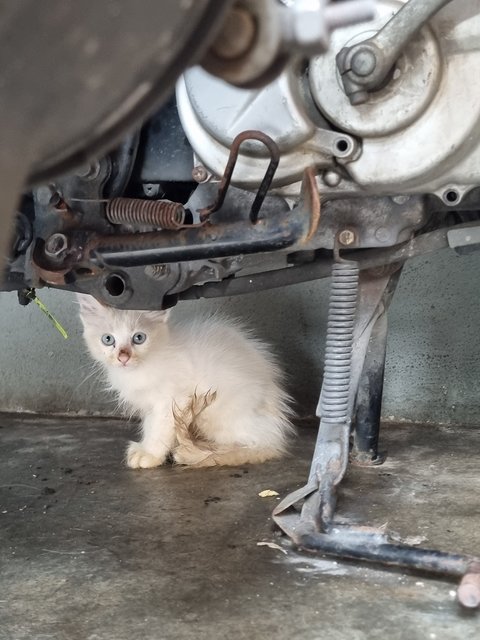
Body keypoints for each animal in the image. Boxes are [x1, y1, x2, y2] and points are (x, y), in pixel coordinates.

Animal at [78, 296, 292, 470]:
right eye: (107, 339)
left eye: (139, 338)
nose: (123, 357)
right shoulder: (150, 406)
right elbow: (149, 425)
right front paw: (146, 448)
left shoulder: (172, 401)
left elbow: (160, 429)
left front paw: (150, 455)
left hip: (213, 412)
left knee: (260, 446)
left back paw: (204, 451)